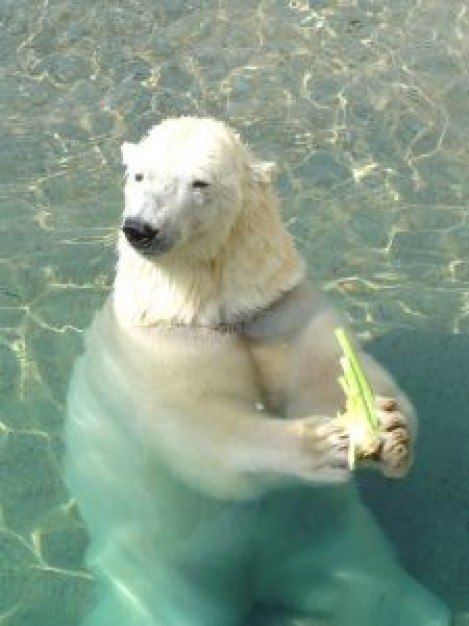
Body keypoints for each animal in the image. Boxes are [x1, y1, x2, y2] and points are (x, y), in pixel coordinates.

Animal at [64, 118, 448, 624]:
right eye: (139, 175)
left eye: (199, 183)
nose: (140, 228)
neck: (208, 312)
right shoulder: (159, 351)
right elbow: (197, 430)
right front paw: (319, 444)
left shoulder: (279, 311)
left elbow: (322, 372)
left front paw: (391, 427)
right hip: (161, 566)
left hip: (322, 532)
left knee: (368, 581)